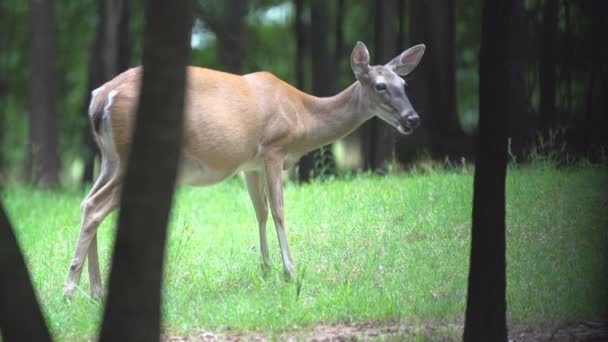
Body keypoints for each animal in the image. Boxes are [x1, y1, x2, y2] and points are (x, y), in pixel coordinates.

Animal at [60, 40, 422, 300]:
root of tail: (100, 97)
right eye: (380, 86)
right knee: (94, 206)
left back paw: (95, 291)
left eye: (404, 84)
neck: (302, 116)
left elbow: (259, 212)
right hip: (135, 155)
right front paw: (291, 272)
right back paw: (70, 290)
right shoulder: (274, 148)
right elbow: (278, 211)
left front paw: (266, 270)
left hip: (110, 158)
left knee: (87, 202)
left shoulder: (251, 163)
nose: (413, 119)